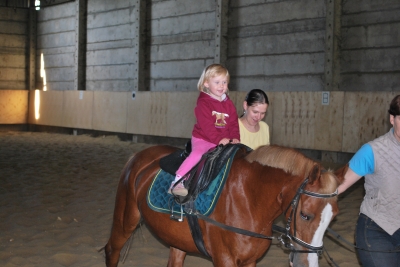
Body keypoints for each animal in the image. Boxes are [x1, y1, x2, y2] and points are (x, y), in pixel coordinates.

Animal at [103, 144, 344, 267]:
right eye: (305, 215)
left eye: (333, 218)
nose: (308, 263)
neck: (249, 198)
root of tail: (139, 156)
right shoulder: (225, 261)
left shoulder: (249, 262)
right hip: (125, 220)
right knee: (111, 250)